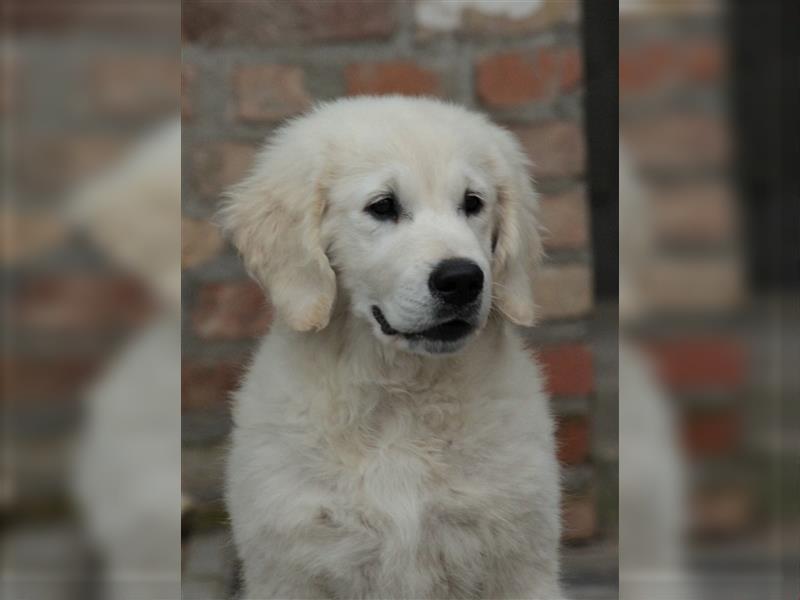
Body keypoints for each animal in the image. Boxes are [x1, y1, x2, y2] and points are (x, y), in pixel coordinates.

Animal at [219, 96, 564, 596]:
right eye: (383, 206)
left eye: (473, 203)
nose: (462, 279)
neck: (401, 399)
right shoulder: (290, 565)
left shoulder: (519, 562)